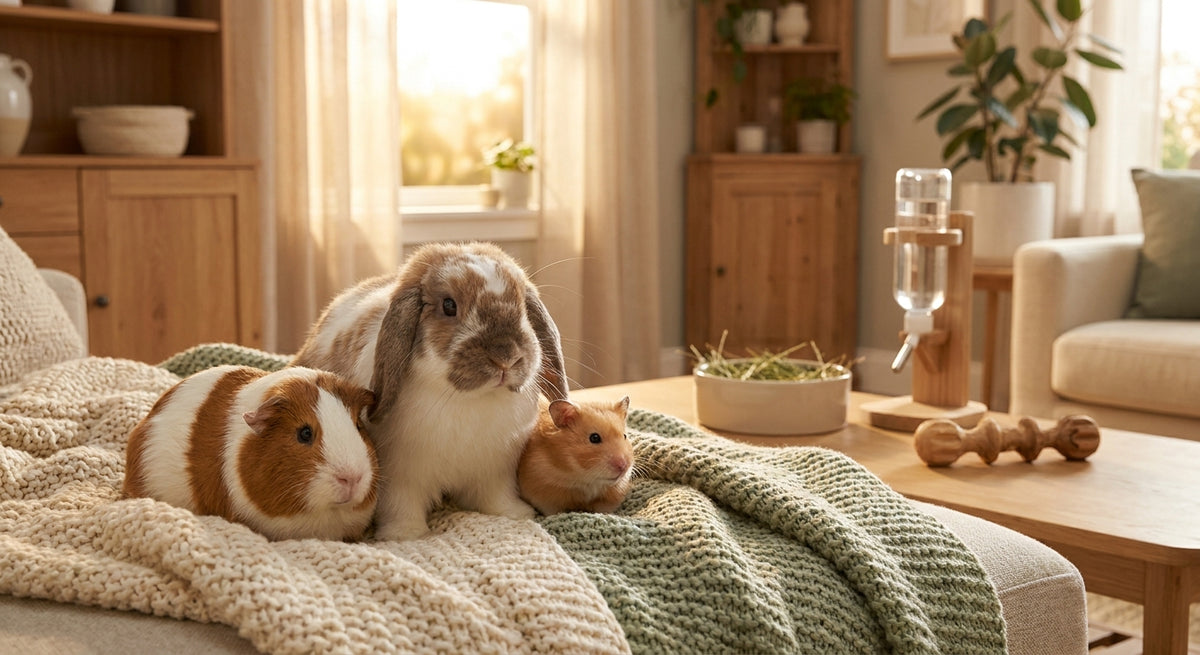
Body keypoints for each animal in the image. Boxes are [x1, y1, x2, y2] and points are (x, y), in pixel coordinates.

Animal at [292, 242, 570, 541]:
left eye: (522, 306)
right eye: (449, 306)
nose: (506, 357)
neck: (468, 399)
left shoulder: (495, 470)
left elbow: (496, 497)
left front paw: (515, 514)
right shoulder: (400, 476)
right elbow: (402, 505)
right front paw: (406, 534)